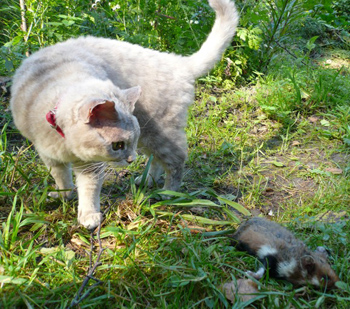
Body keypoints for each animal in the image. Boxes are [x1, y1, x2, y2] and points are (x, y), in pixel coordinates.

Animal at [11, 0, 241, 227]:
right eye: (118, 145)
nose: (131, 160)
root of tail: (179, 62)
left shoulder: (90, 167)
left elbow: (89, 191)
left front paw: (89, 216)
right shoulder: (49, 157)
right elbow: (61, 178)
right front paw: (63, 196)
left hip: (159, 134)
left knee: (175, 163)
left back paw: (168, 193)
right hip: (150, 136)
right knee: (156, 161)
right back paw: (146, 181)